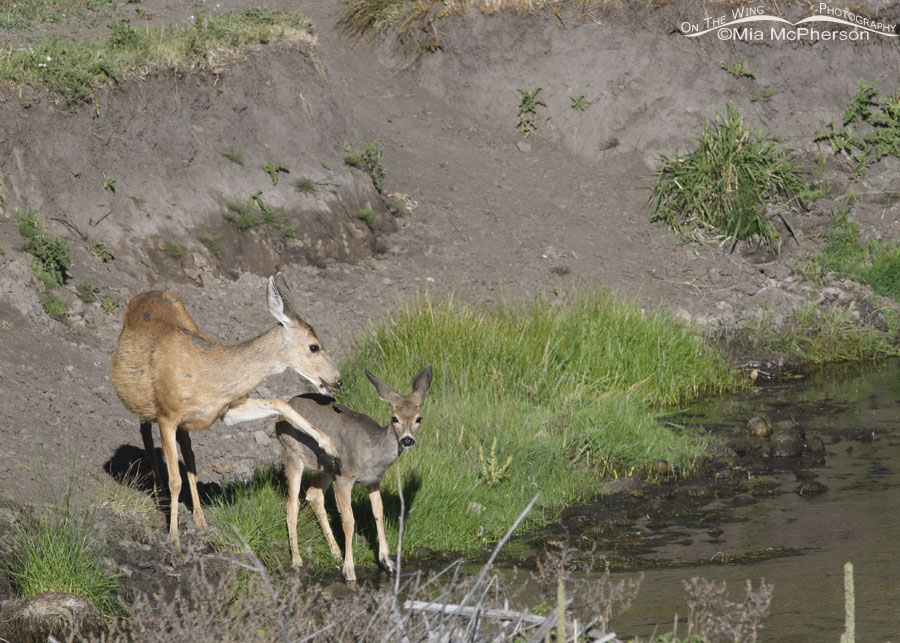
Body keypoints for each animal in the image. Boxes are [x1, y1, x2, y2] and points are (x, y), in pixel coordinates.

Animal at [109, 274, 342, 552]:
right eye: (314, 347)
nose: (338, 380)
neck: (209, 376)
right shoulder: (167, 415)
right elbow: (175, 480)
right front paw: (174, 539)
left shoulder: (226, 410)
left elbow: (279, 402)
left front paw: (329, 445)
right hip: (145, 405)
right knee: (145, 432)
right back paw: (158, 494)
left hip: (185, 423)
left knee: (189, 456)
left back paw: (200, 519)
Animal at [276, 364, 430, 580]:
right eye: (395, 418)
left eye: (419, 418)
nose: (407, 440)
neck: (373, 452)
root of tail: (279, 416)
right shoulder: (344, 477)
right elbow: (349, 520)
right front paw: (349, 571)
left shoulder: (373, 481)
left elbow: (378, 512)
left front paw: (388, 562)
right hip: (293, 454)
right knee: (291, 504)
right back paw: (297, 560)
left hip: (326, 467)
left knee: (313, 495)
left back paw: (335, 553)